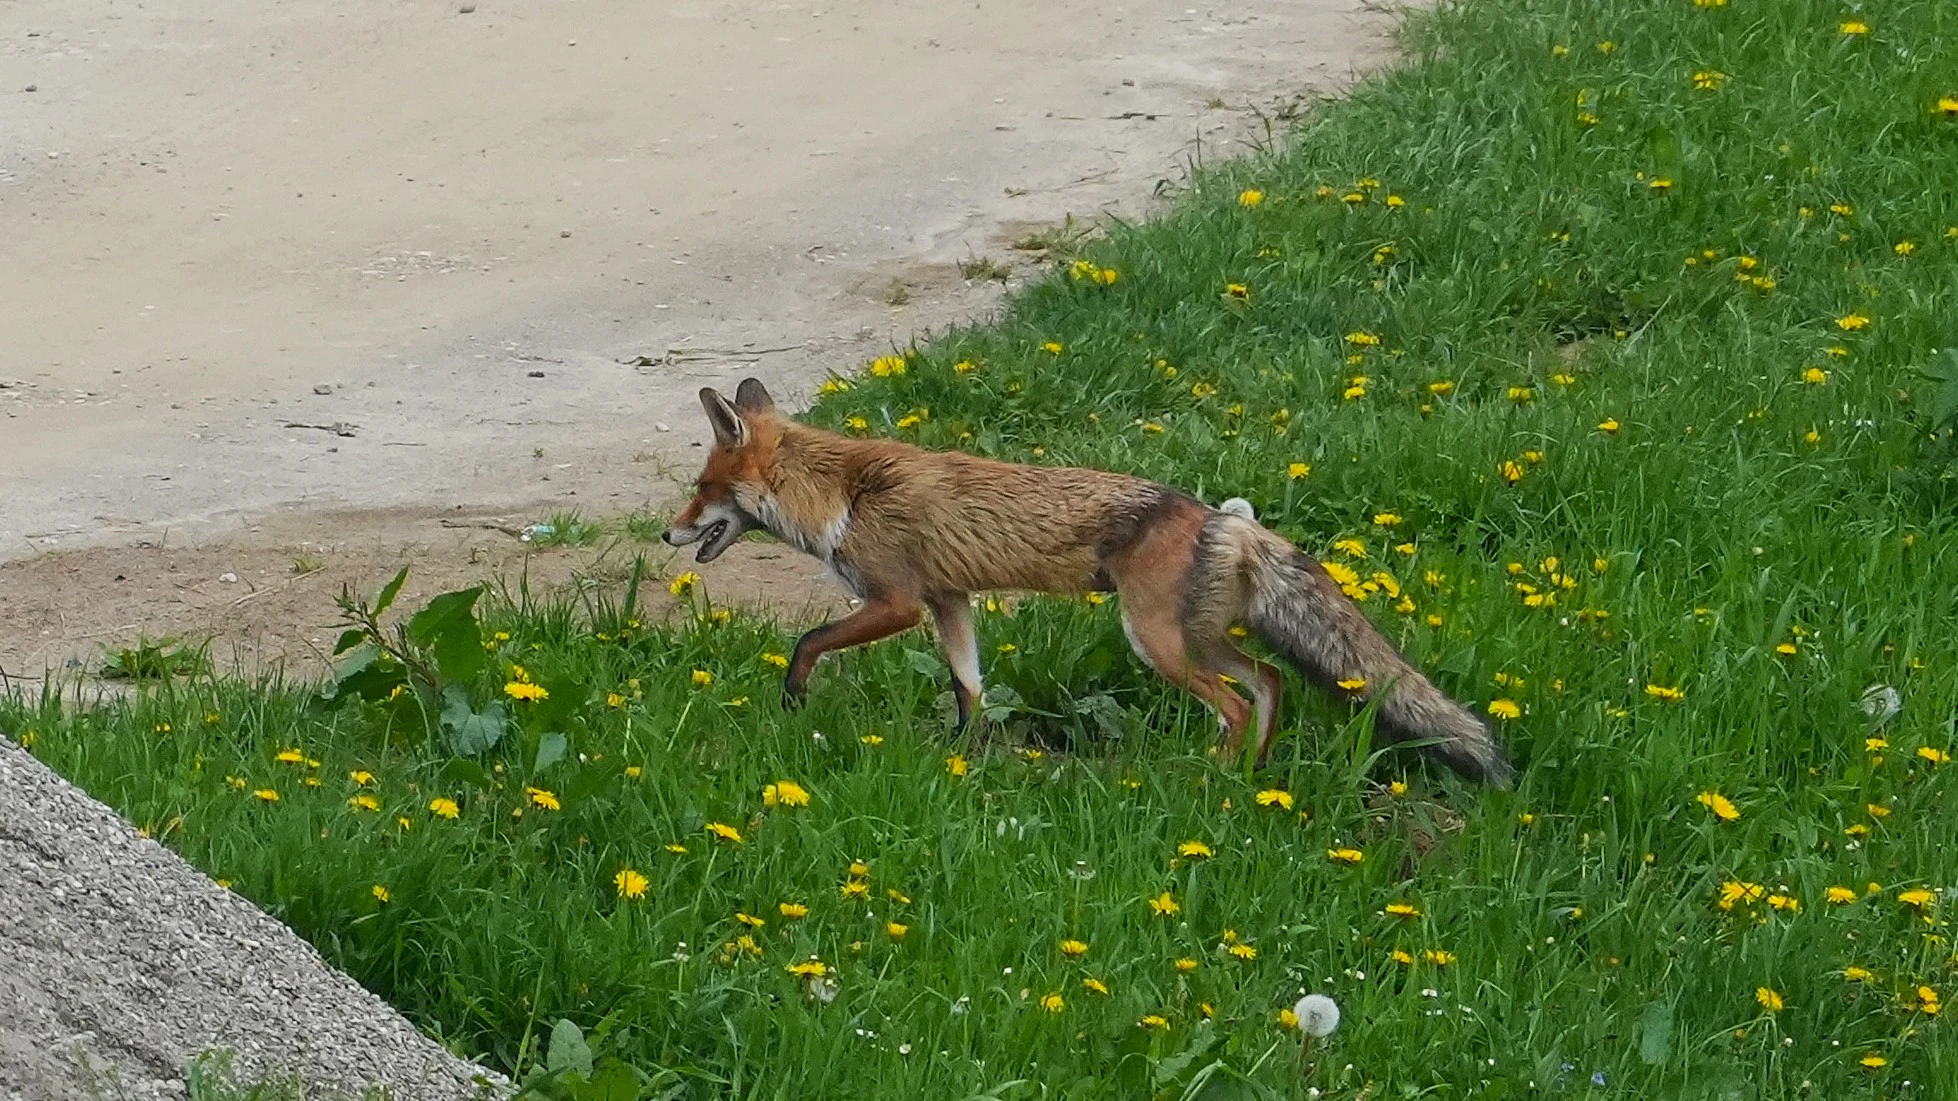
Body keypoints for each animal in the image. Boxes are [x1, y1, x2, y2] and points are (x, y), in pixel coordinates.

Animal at [662, 378, 1513, 784]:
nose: (666, 533)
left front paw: (794, 695)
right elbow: (970, 687)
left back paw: (1212, 778)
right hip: (1196, 639)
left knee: (1238, 703)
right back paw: (1254, 776)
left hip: (1156, 644)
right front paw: (964, 757)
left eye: (702, 488)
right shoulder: (949, 601)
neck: (840, 491)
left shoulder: (897, 600)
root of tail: (1223, 518)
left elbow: (809, 639)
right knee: (1270, 682)